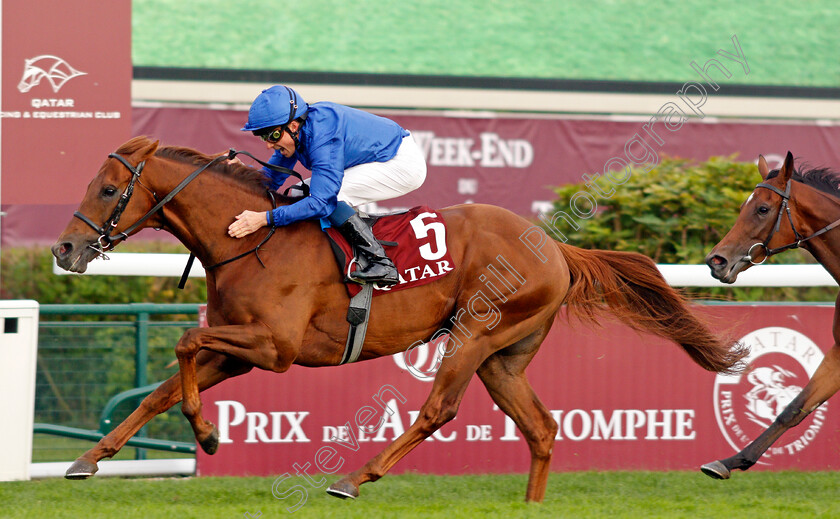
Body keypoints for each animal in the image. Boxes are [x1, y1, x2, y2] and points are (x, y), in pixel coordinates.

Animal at [55, 136, 744, 502]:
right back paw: (529, 505)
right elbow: (167, 385)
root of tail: (554, 247)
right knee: (542, 428)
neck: (246, 240)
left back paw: (356, 478)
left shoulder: (272, 347)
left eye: (108, 189)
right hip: (504, 359)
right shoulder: (236, 351)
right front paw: (91, 459)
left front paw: (207, 436)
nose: (64, 249)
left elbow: (183, 340)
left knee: (439, 409)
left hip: (475, 335)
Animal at [704, 150, 840, 480]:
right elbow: (794, 408)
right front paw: (731, 461)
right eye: (743, 206)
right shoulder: (839, 350)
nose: (716, 261)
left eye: (763, 209)